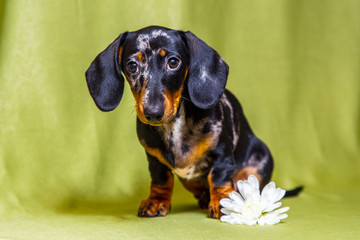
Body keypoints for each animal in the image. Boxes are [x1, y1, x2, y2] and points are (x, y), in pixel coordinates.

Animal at [86, 26, 276, 219]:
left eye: (173, 62)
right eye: (132, 66)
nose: (153, 113)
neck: (173, 126)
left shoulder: (222, 153)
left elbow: (218, 178)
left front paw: (223, 202)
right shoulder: (154, 160)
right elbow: (161, 180)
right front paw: (156, 201)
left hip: (259, 163)